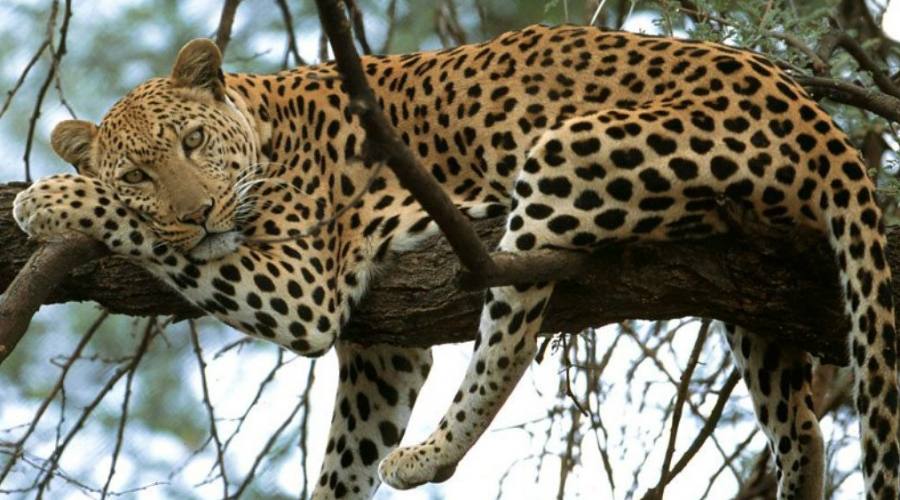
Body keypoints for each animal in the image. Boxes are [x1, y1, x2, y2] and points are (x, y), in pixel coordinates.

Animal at [12, 24, 898, 499]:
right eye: (138, 173)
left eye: (194, 143)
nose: (196, 214)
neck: (265, 124)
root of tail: (816, 115)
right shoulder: (382, 351)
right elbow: (344, 460)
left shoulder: (303, 286)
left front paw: (47, 198)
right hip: (755, 292)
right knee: (802, 425)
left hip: (565, 156)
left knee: (510, 340)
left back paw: (431, 455)